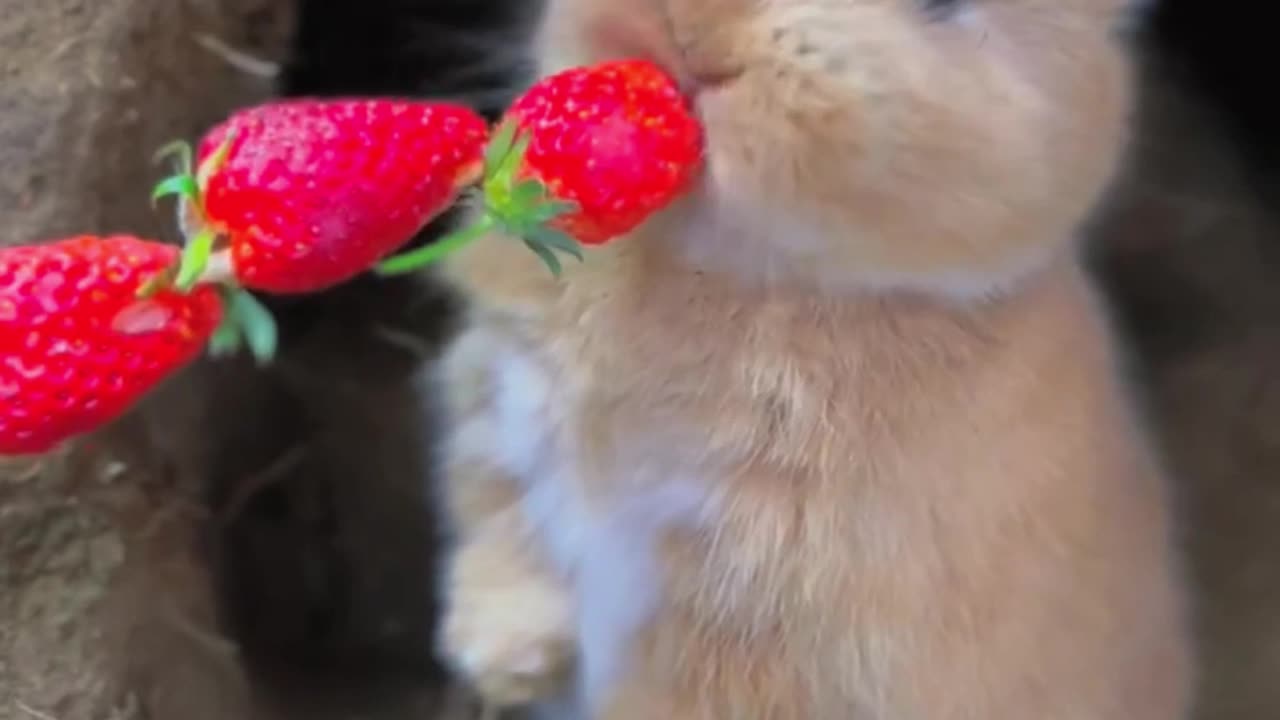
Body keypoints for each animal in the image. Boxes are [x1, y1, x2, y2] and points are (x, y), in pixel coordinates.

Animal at [424, 0, 1192, 712]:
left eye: (941, 7)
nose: (694, 32)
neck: (717, 265)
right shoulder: (501, 406)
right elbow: (502, 517)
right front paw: (503, 658)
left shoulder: (760, 624)